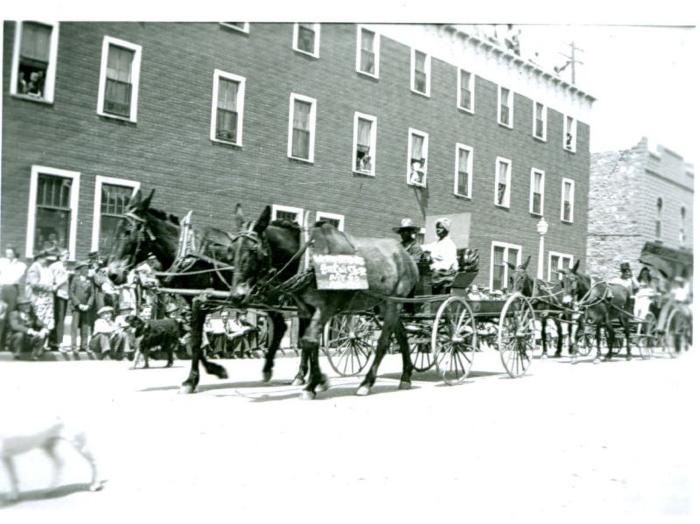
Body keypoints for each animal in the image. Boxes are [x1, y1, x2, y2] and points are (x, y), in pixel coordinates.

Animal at [104, 189, 308, 392]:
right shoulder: (193, 300)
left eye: (129, 231)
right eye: (116, 228)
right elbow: (195, 340)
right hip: (267, 296)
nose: (112, 274)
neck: (186, 251)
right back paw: (273, 370)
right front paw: (214, 371)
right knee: (282, 326)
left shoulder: (201, 300)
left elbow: (195, 340)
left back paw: (298, 374)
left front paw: (192, 379)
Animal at [228, 207, 422, 400]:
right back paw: (406, 376)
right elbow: (309, 343)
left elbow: (309, 340)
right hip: (384, 303)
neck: (310, 258)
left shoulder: (326, 307)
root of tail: (404, 254)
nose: (236, 296)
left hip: (394, 302)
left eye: (253, 250)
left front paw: (313, 384)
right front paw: (317, 381)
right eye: (232, 250)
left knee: (384, 341)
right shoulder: (306, 308)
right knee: (402, 335)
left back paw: (366, 383)